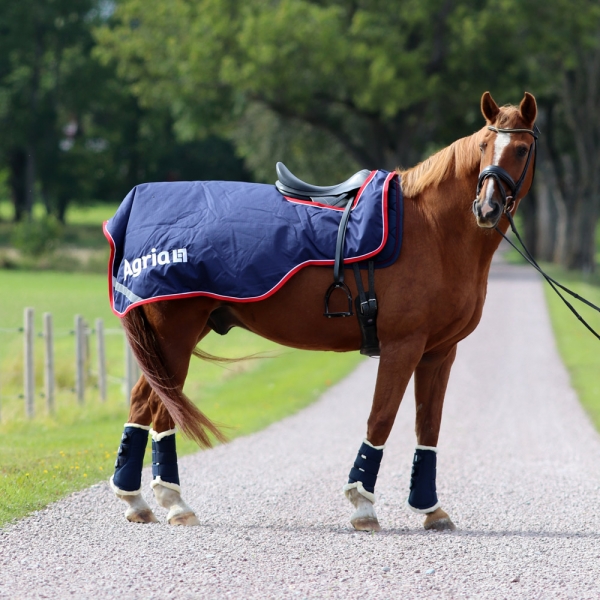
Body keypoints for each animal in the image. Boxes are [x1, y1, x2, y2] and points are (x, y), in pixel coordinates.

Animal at [110, 91, 536, 532]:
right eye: (484, 145)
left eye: (522, 149)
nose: (486, 209)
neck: (432, 230)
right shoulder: (403, 346)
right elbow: (381, 418)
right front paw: (363, 504)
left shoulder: (439, 352)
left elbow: (428, 427)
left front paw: (430, 507)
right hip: (174, 337)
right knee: (161, 412)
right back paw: (174, 502)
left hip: (174, 340)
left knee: (142, 404)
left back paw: (137, 500)